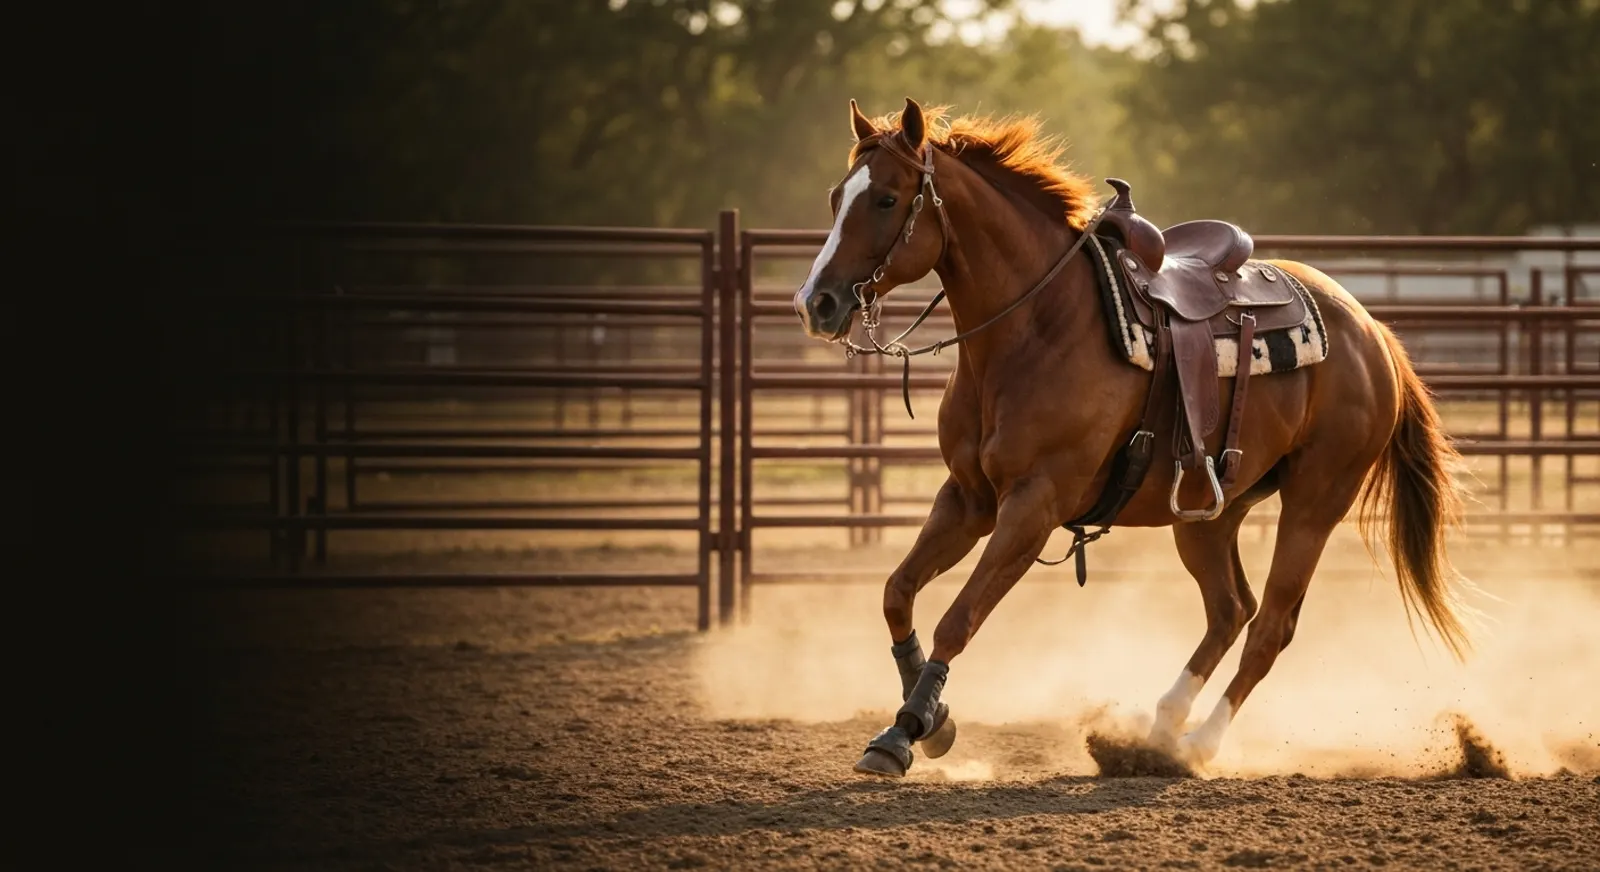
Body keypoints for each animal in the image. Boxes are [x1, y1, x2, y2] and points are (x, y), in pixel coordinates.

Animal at [789, 97, 1477, 778]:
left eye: (886, 199)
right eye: (836, 195)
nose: (815, 303)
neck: (1037, 327)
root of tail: (1370, 330)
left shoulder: (1033, 506)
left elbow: (958, 619)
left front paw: (906, 732)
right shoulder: (968, 498)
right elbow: (897, 592)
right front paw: (932, 722)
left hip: (1315, 502)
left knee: (1272, 623)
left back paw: (1198, 745)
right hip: (1209, 511)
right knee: (1231, 609)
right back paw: (1160, 729)